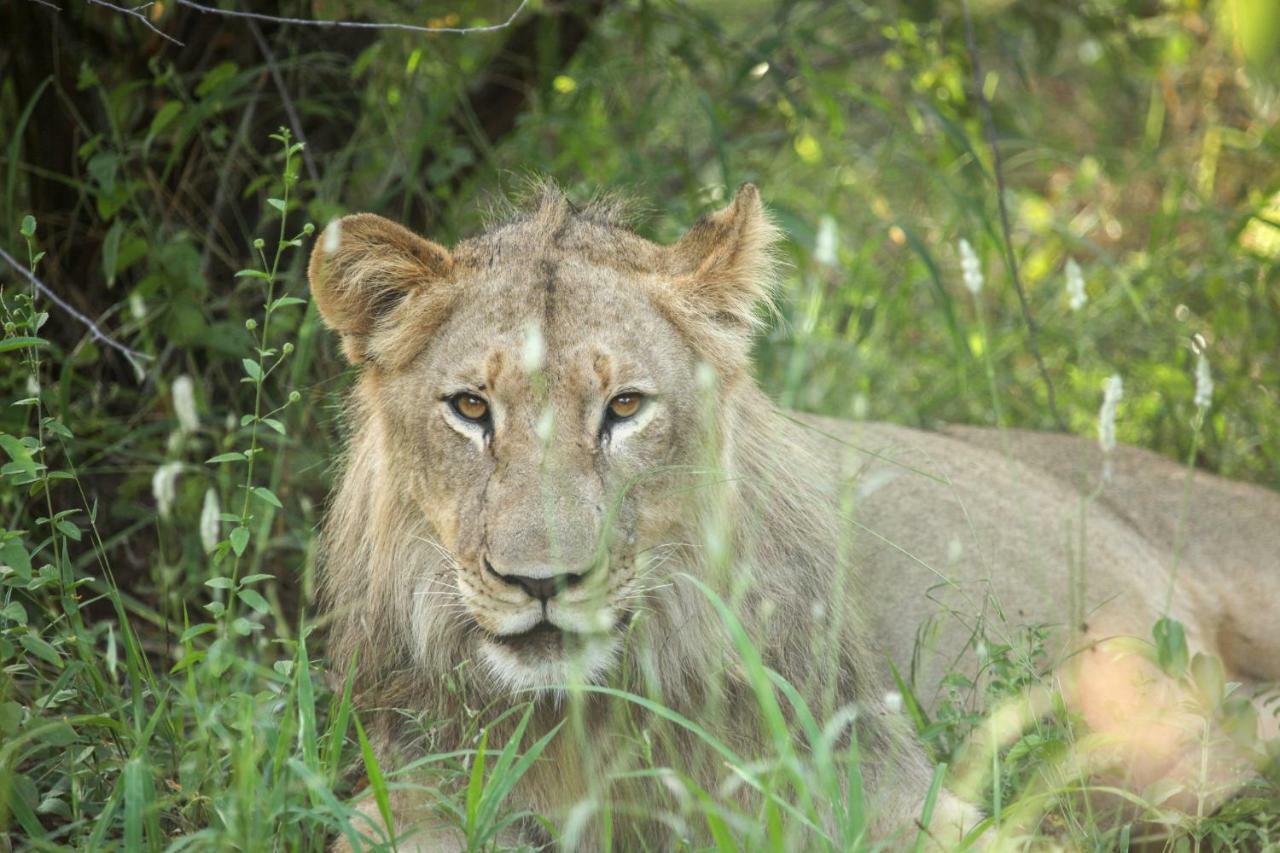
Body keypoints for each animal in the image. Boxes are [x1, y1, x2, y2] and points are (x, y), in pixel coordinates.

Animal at [309, 183, 1280, 845]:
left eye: (624, 407)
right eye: (471, 408)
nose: (542, 582)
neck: (583, 715)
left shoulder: (898, 792)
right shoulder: (410, 789)